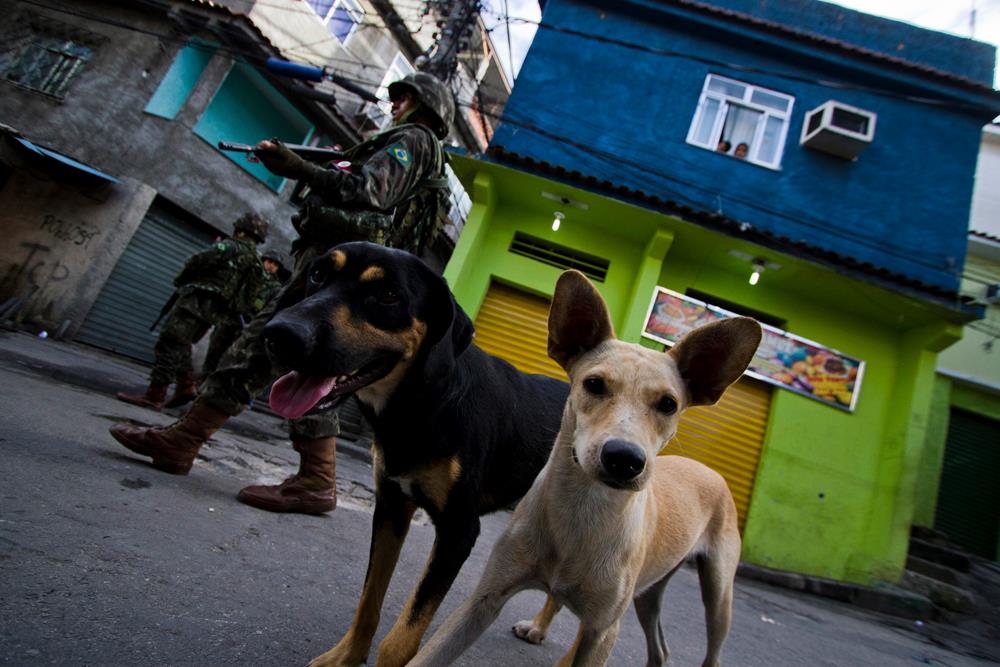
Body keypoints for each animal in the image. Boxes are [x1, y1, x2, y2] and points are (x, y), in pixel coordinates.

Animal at [260, 243, 572, 664]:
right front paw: (346, 655)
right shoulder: (391, 506)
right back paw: (538, 627)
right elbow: (368, 601)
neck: (421, 404)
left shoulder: (459, 531)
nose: (279, 333)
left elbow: (402, 639)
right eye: (318, 275)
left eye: (388, 295)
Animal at [410, 272, 760, 667]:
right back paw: (541, 626)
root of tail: (709, 470)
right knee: (654, 645)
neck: (584, 507)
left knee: (711, 642)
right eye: (594, 384)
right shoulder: (483, 599)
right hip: (647, 594)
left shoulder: (603, 630)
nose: (624, 458)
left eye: (668, 404)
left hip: (717, 596)